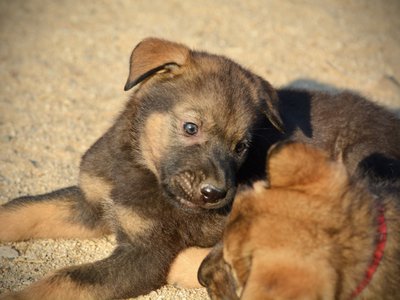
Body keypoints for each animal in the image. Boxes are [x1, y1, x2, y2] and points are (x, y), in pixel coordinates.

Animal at [0, 38, 284, 298]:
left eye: (241, 147)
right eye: (190, 127)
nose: (215, 194)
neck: (140, 166)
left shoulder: (147, 252)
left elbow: (67, 279)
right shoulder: (90, 205)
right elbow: (25, 209)